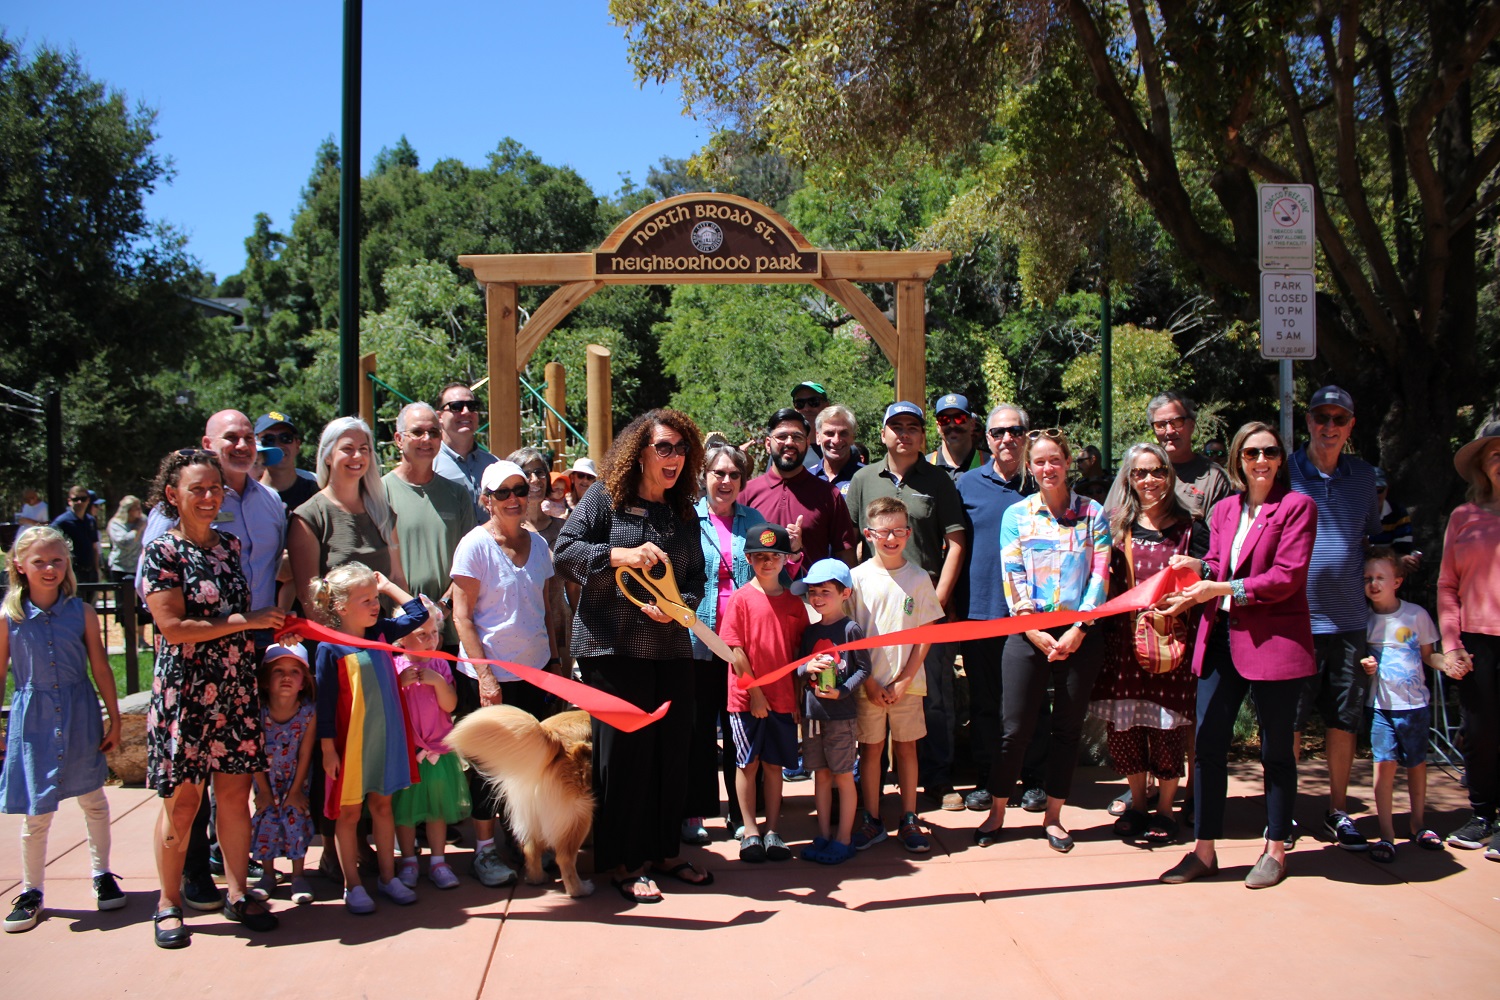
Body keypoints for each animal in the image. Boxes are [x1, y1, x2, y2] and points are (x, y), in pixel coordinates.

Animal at [444, 704, 591, 899]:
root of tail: (552, 736)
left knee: (530, 849)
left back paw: (537, 878)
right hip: (579, 813)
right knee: (565, 858)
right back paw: (580, 890)